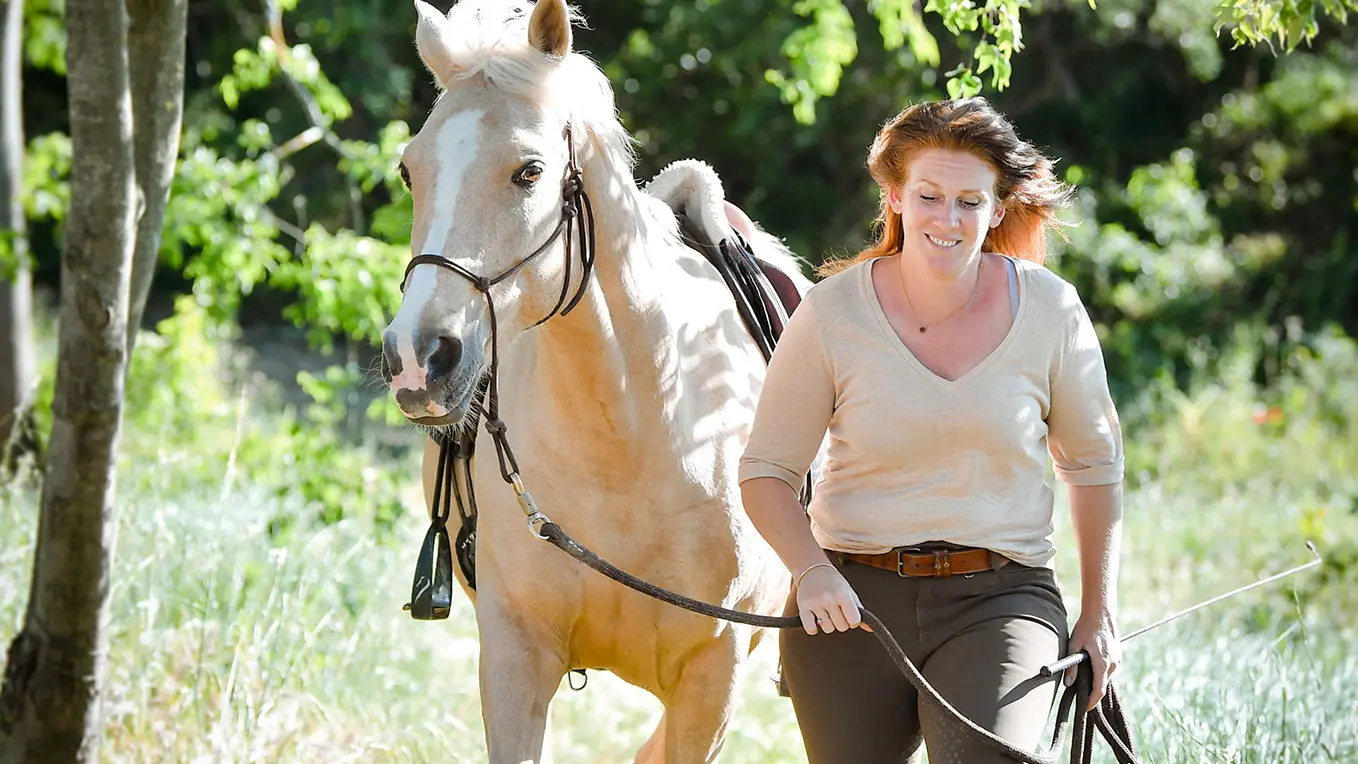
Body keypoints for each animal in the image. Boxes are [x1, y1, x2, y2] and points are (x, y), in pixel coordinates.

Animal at [378, 0, 815, 761]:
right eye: (410, 171)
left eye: (529, 172)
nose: (416, 356)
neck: (633, 429)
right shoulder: (514, 659)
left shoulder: (712, 683)